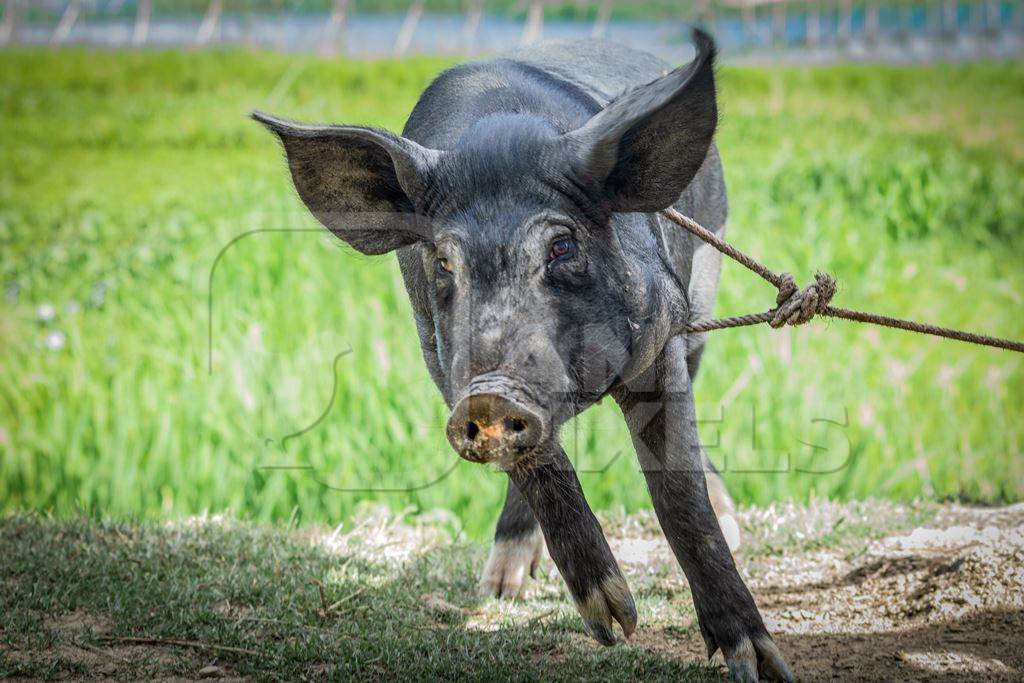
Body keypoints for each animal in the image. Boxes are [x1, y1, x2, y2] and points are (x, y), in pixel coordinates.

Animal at [253, 29, 790, 679]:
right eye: (443, 262)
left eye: (562, 245)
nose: (491, 395)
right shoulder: (440, 359)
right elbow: (540, 464)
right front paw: (612, 624)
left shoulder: (661, 332)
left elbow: (680, 496)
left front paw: (759, 665)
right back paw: (503, 587)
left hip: (704, 305)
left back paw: (733, 526)